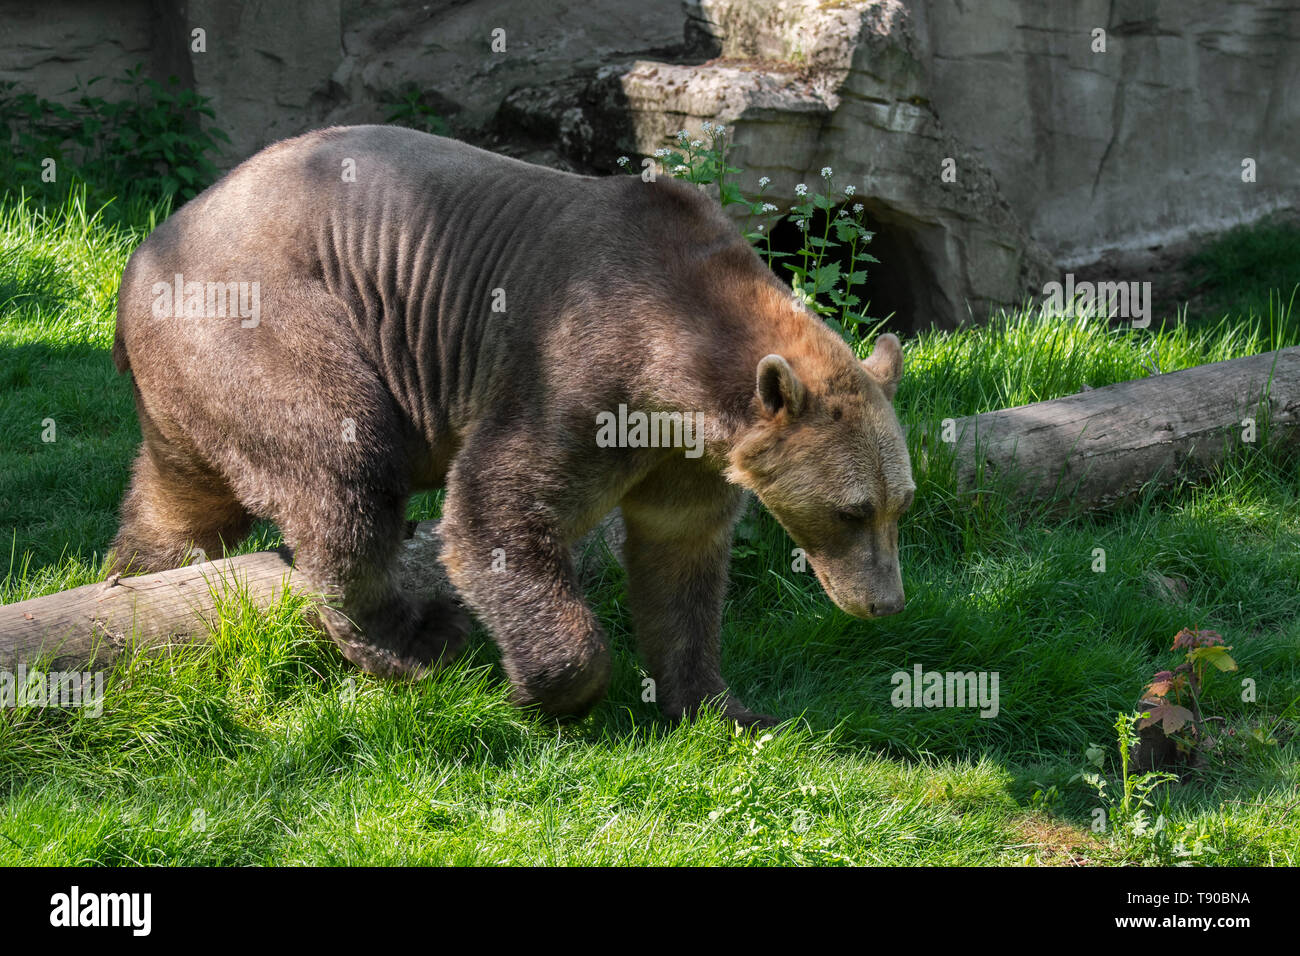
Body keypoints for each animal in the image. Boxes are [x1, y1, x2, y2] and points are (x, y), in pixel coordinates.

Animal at [111, 125, 915, 723]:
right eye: (852, 510)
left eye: (899, 505)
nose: (885, 603)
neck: (681, 370)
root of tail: (144, 253)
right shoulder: (578, 368)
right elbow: (498, 510)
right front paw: (543, 685)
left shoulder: (684, 454)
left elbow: (680, 559)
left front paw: (723, 705)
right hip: (266, 322)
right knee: (343, 466)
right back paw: (411, 640)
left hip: (188, 383)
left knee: (179, 500)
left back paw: (131, 576)